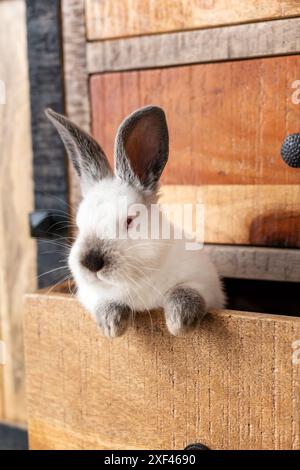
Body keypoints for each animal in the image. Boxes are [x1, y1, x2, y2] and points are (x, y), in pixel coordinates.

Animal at [46, 105, 225, 338]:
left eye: (130, 220)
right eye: (79, 224)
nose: (91, 263)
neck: (136, 276)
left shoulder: (204, 283)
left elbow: (184, 292)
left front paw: (178, 324)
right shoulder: (90, 295)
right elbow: (105, 302)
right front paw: (112, 327)